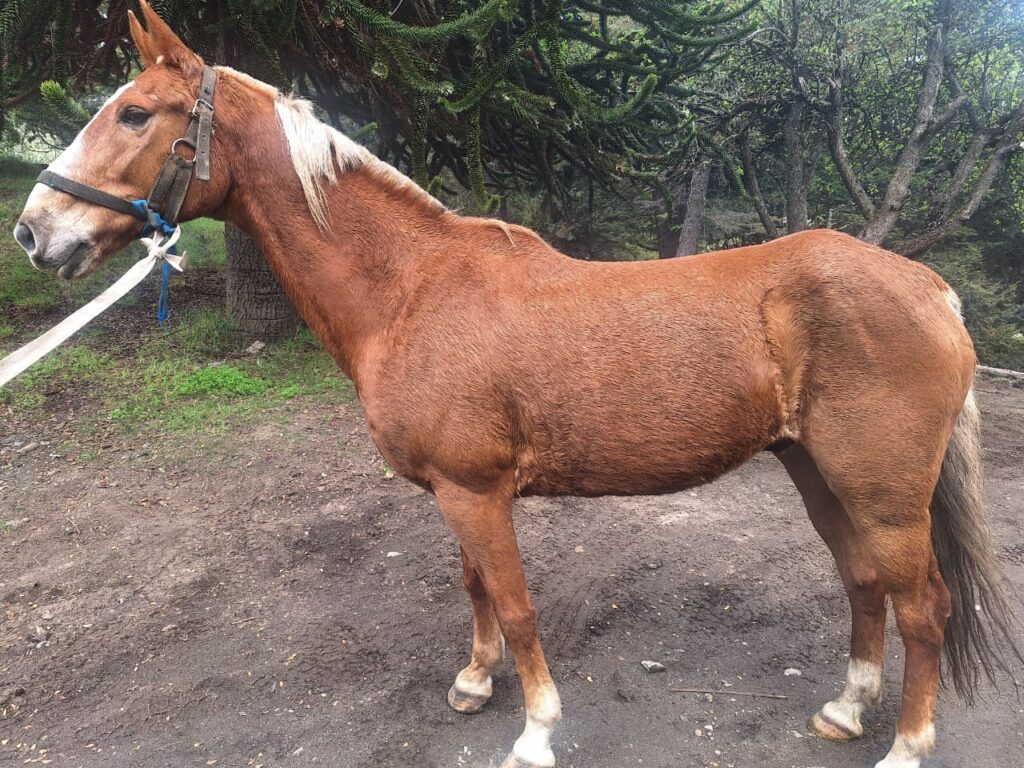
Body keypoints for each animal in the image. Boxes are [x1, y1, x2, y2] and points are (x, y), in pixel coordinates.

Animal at [13, 4, 1019, 767]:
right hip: (819, 473)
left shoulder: (478, 491)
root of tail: (929, 287)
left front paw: (535, 731)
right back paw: (846, 710)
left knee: (924, 606)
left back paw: (905, 745)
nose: (35, 231)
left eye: (137, 114)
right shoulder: (455, 493)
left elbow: (521, 604)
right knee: (862, 583)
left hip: (882, 492)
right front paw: (473, 681)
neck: (411, 290)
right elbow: (476, 590)